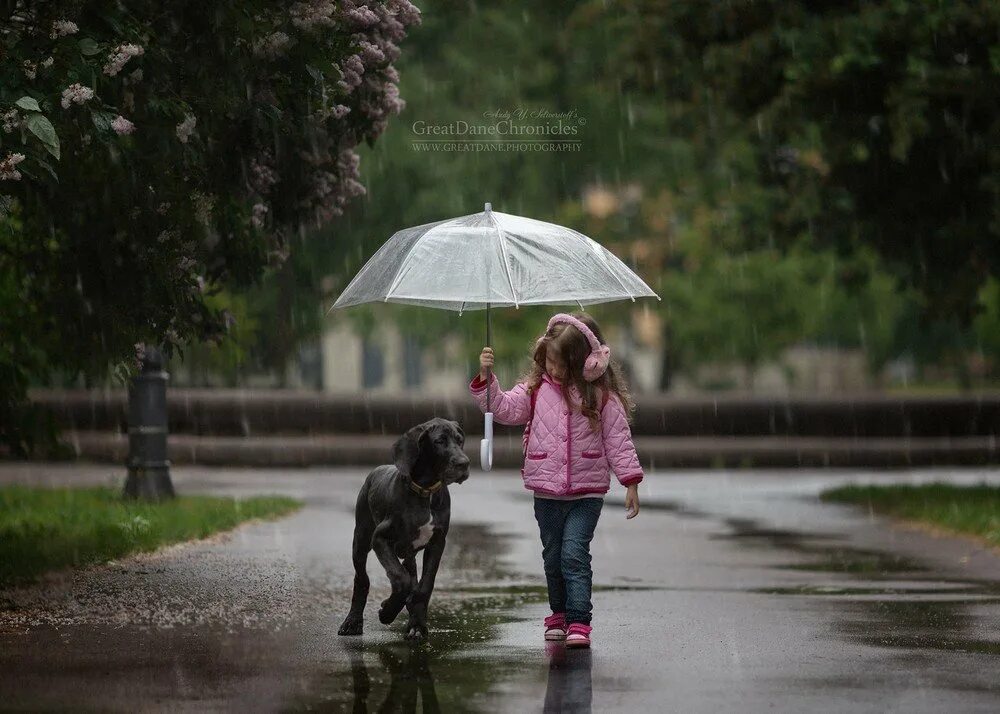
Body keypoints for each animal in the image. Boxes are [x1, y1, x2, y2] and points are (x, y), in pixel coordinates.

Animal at [338, 414, 470, 636]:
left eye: (460, 440)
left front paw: (416, 623)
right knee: (362, 579)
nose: (464, 463)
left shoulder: (437, 543)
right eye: (439, 441)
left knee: (410, 573)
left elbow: (424, 585)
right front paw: (388, 612)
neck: (425, 492)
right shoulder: (380, 538)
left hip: (406, 551)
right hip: (361, 539)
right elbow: (401, 579)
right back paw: (353, 621)